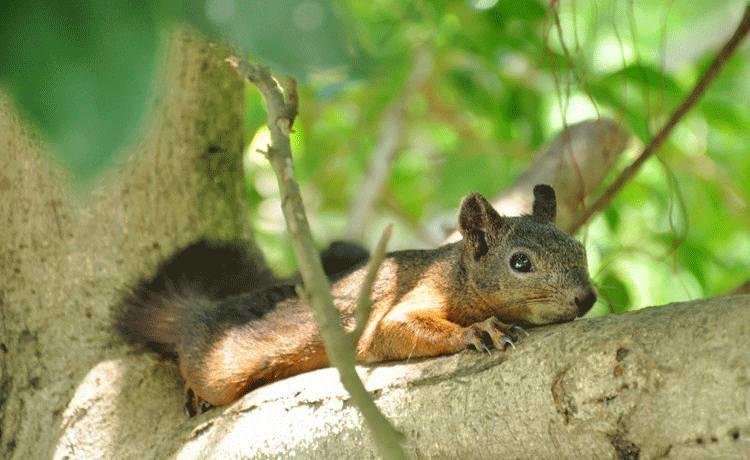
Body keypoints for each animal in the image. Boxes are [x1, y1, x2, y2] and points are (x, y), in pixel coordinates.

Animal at [119, 184, 600, 416]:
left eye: (580, 248)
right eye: (520, 262)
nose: (587, 297)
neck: (459, 275)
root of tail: (199, 311)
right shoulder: (412, 294)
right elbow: (391, 330)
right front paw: (477, 331)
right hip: (221, 367)